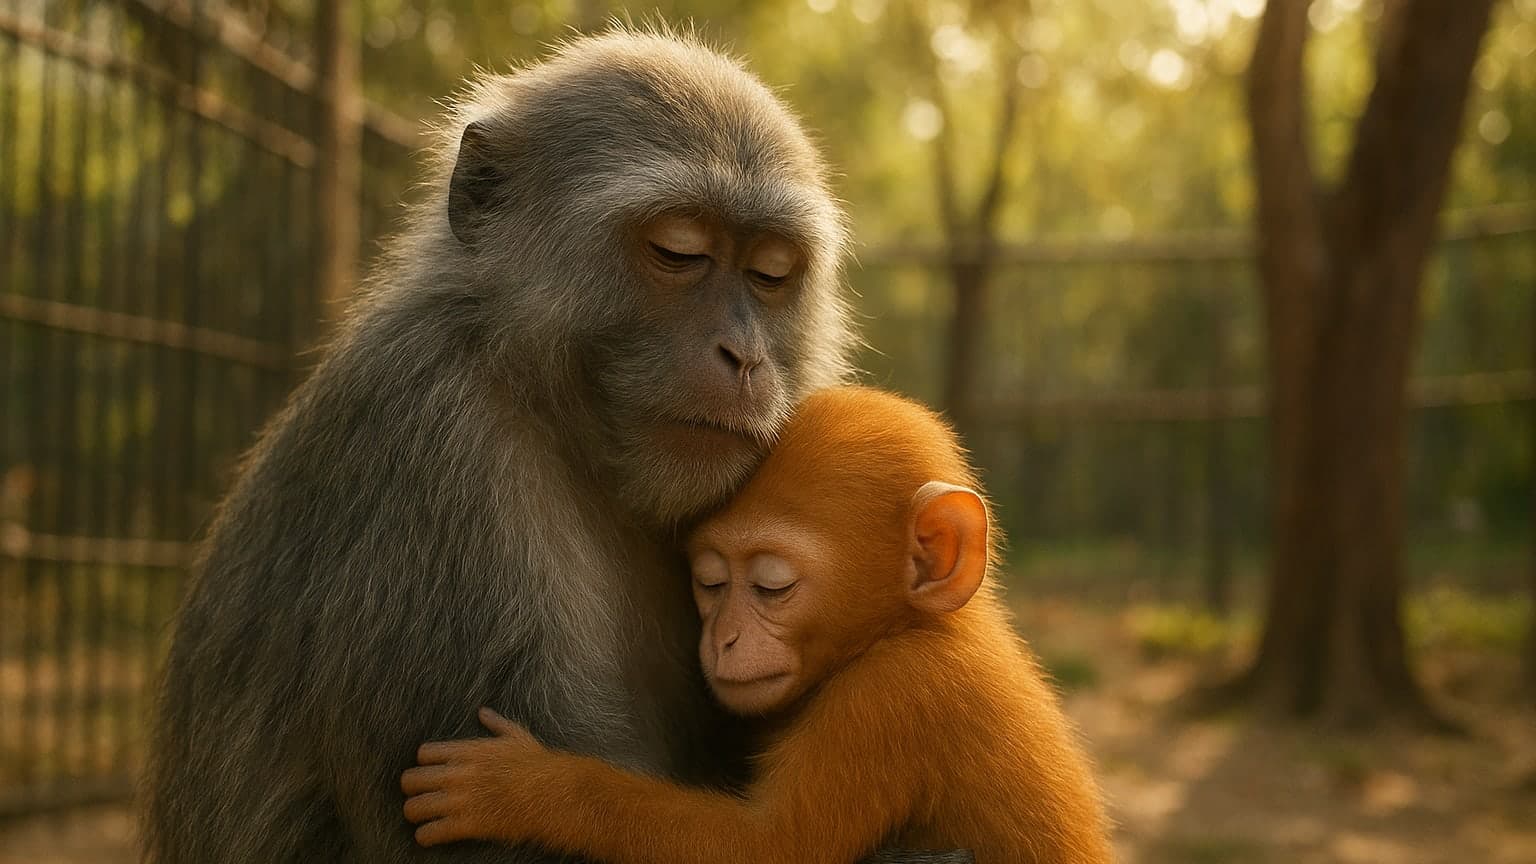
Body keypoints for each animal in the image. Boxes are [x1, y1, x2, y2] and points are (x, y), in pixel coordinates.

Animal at [400, 386, 1115, 864]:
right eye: (710, 583)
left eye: (773, 586)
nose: (723, 639)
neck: (905, 631)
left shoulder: (893, 698)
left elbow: (770, 847)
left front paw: (525, 788)